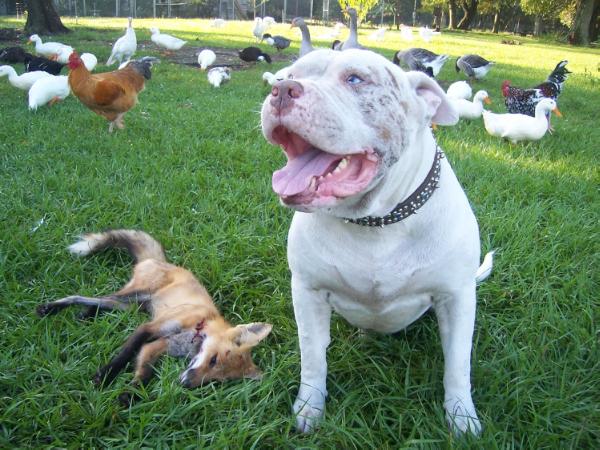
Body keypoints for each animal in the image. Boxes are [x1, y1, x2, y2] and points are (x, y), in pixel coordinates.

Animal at [37, 230, 272, 400]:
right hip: (134, 295)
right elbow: (125, 354)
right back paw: (51, 308)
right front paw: (105, 376)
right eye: (213, 360)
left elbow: (143, 373)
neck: (198, 329)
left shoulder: (158, 345)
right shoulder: (150, 328)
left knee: (98, 303)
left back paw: (85, 315)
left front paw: (129, 396)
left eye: (215, 381)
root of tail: (161, 260)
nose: (186, 383)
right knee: (80, 296)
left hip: (129, 306)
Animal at [262, 49, 492, 436]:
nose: (282, 89)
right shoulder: (308, 293)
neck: (376, 221)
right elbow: (313, 356)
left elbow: (458, 364)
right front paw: (309, 409)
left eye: (355, 79)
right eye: (287, 74)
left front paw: (462, 417)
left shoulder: (457, 298)